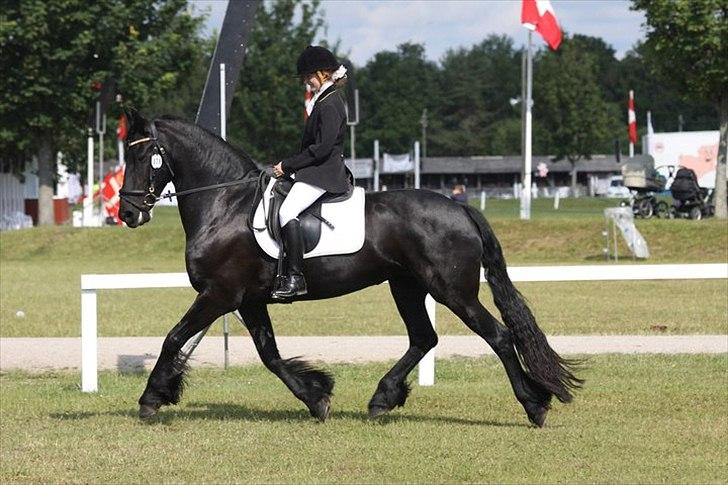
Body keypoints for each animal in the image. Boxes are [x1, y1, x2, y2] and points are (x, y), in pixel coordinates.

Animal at [118, 108, 580, 424]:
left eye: (144, 157)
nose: (126, 213)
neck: (226, 203)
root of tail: (461, 209)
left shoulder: (219, 294)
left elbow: (174, 337)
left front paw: (151, 398)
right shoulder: (248, 300)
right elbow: (269, 354)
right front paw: (316, 395)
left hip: (453, 291)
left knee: (498, 336)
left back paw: (534, 406)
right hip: (407, 286)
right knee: (423, 338)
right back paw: (382, 399)